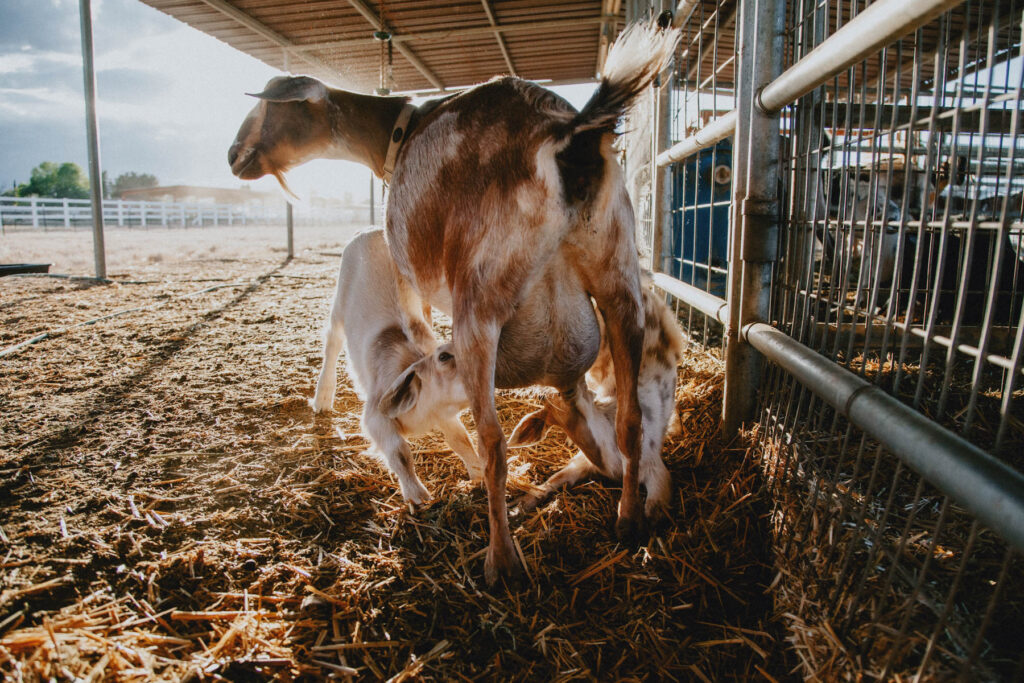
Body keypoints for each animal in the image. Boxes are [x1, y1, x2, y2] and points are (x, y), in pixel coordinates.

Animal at [309, 229, 481, 501]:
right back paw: (323, 398)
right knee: (332, 342)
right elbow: (400, 452)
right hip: (339, 299)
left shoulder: (445, 415)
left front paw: (479, 475)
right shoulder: (375, 417)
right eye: (444, 356)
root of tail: (374, 230)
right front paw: (418, 496)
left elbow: (462, 440)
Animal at [507, 276, 684, 518]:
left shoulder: (655, 467)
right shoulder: (581, 462)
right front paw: (516, 508)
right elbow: (553, 479)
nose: (545, 393)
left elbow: (654, 509)